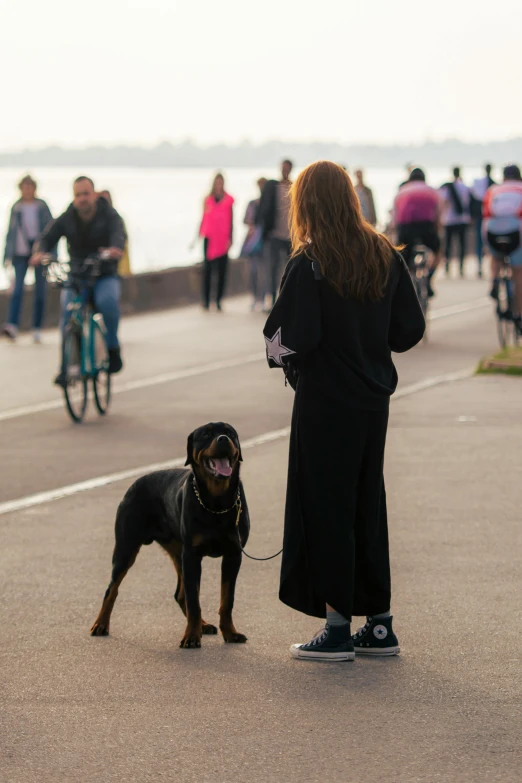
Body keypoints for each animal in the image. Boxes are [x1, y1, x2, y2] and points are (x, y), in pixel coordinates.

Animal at [90, 422, 249, 648]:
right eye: (206, 434)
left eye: (230, 433)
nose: (223, 439)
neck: (216, 501)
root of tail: (134, 484)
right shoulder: (192, 555)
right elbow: (194, 601)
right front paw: (191, 637)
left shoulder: (233, 554)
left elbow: (227, 600)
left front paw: (230, 633)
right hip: (126, 547)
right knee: (112, 588)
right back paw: (101, 624)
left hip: (177, 551)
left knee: (181, 594)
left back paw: (203, 625)